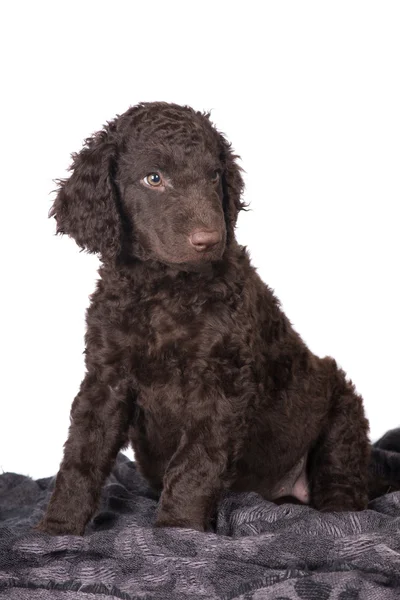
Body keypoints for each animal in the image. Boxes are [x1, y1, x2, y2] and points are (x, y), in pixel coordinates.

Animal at [36, 102, 370, 536]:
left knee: (342, 484)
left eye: (213, 175)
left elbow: (193, 464)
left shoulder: (220, 382)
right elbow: (82, 453)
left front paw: (177, 530)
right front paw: (58, 527)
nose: (209, 240)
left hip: (341, 414)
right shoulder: (106, 377)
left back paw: (340, 518)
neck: (163, 289)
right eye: (154, 178)